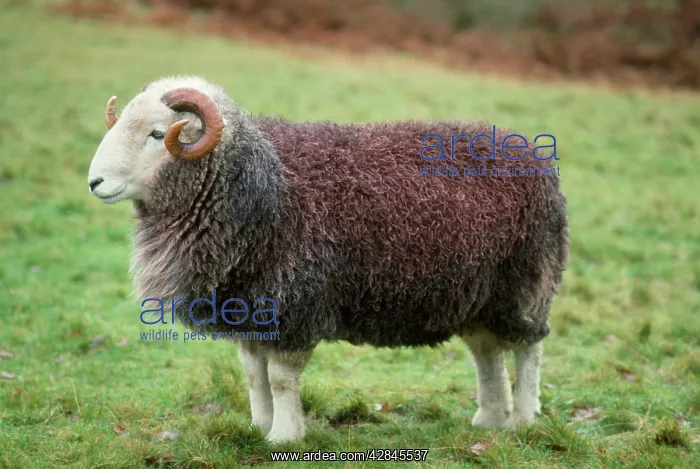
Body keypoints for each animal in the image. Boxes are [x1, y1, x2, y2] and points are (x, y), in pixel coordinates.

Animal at [87, 76, 569, 443]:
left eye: (157, 133)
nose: (94, 182)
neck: (261, 184)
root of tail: (531, 154)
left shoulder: (295, 304)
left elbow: (280, 379)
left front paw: (284, 437)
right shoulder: (249, 306)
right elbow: (253, 375)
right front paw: (260, 427)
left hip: (526, 281)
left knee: (528, 348)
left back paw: (523, 420)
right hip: (477, 294)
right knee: (486, 351)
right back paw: (490, 419)